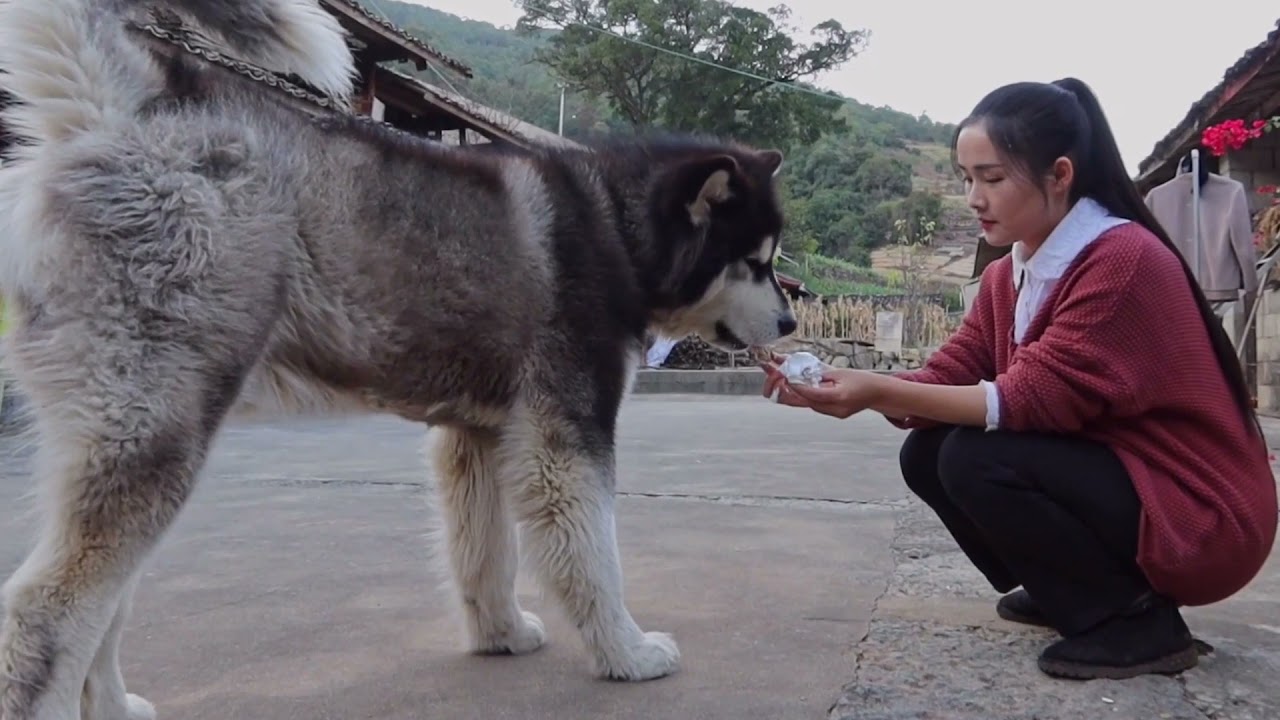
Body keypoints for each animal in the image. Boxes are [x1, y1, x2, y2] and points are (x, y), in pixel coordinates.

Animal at [0, 0, 793, 712]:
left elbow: (486, 553)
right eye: (753, 262)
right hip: (154, 431)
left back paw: (112, 704)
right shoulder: (566, 437)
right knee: (44, 612)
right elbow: (596, 558)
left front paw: (501, 634)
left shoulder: (478, 438)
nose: (789, 321)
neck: (618, 227)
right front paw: (626, 652)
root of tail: (130, 106)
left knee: (105, 605)